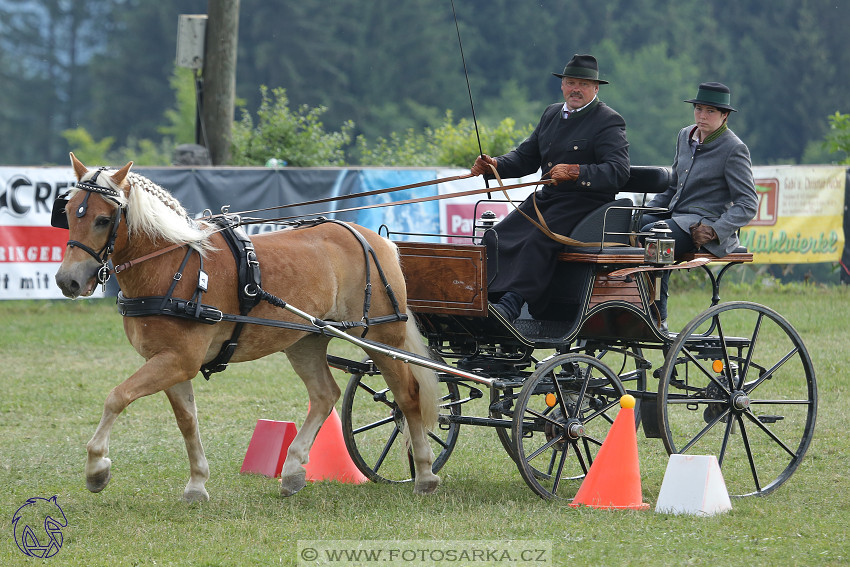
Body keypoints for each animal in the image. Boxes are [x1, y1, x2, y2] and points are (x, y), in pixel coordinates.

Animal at [54, 153, 438, 504]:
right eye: (69, 212)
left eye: (104, 219)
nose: (67, 281)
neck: (172, 265)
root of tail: (377, 239)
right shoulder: (169, 362)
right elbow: (187, 421)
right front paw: (197, 483)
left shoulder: (178, 360)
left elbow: (117, 396)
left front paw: (97, 469)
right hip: (305, 340)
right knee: (324, 395)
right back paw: (293, 471)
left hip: (381, 337)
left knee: (407, 397)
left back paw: (424, 473)